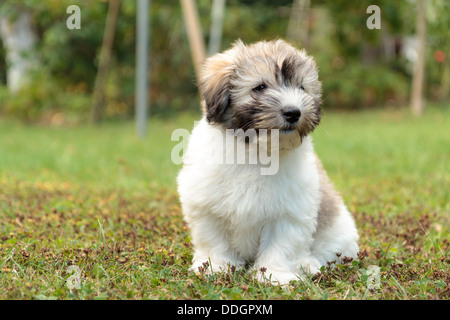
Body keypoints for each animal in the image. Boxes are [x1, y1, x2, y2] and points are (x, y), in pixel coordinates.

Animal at [176, 38, 358, 284]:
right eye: (260, 87)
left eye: (301, 88)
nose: (293, 112)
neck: (256, 151)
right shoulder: (206, 206)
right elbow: (214, 240)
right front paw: (215, 267)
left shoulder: (289, 213)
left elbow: (280, 245)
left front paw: (274, 275)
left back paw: (308, 264)